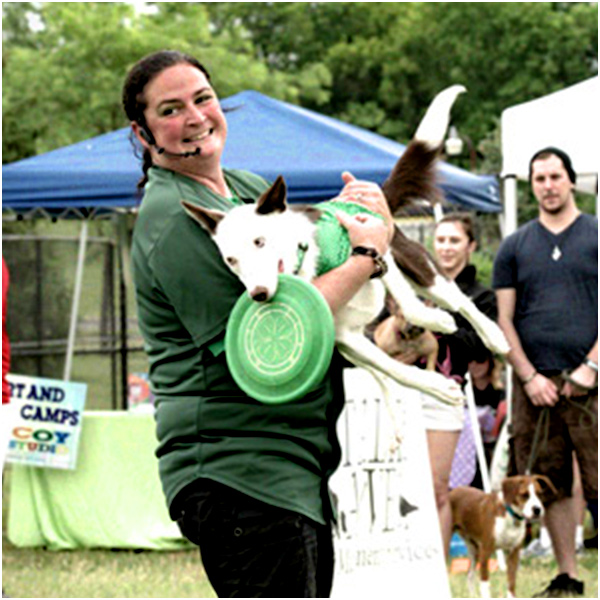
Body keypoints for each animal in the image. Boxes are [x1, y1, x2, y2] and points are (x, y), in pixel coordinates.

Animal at [182, 86, 506, 406]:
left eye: (260, 242)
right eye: (230, 260)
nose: (258, 295)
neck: (307, 260)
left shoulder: (377, 247)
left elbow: (413, 308)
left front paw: (436, 321)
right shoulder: (344, 335)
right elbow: (393, 369)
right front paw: (437, 387)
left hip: (417, 264)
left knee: (458, 298)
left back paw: (494, 335)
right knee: (384, 377)